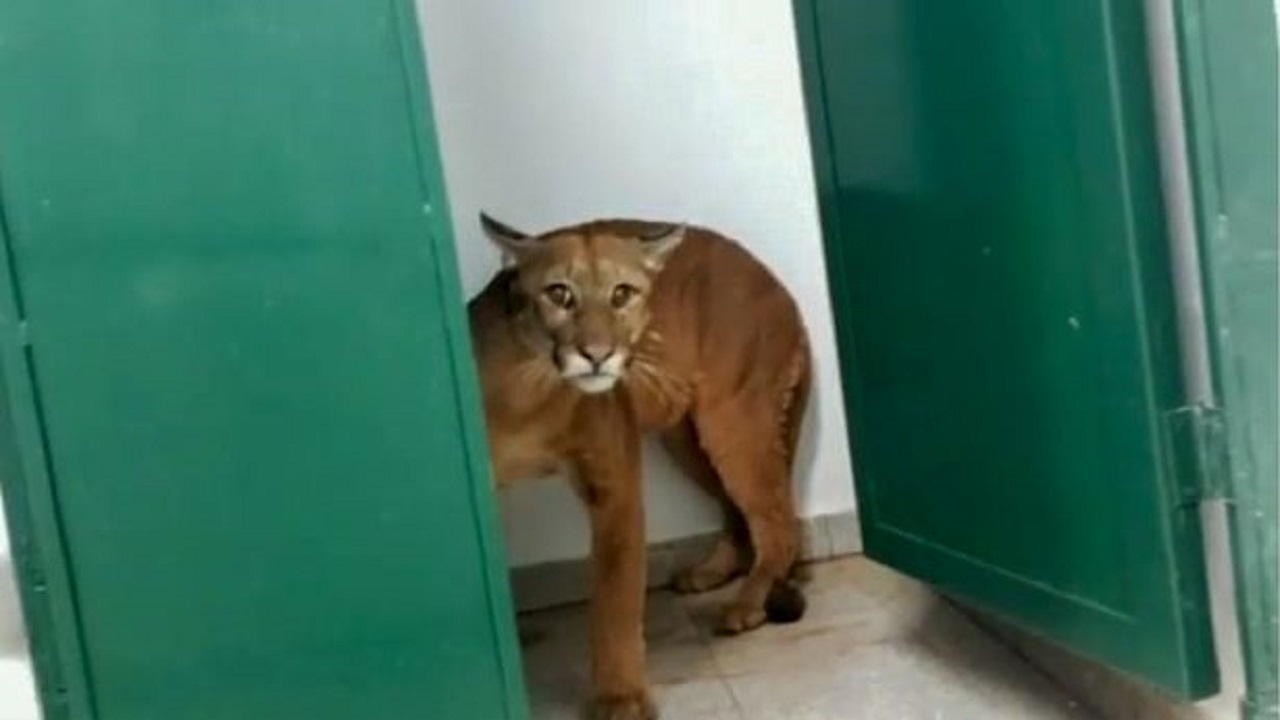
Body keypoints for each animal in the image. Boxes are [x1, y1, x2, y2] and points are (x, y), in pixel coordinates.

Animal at [467, 213, 811, 720]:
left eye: (622, 294)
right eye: (559, 293)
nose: (597, 354)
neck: (532, 392)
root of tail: (779, 287)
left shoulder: (613, 480)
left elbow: (616, 597)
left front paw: (620, 698)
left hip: (734, 419)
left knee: (778, 520)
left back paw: (747, 604)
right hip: (684, 434)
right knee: (737, 507)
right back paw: (712, 571)